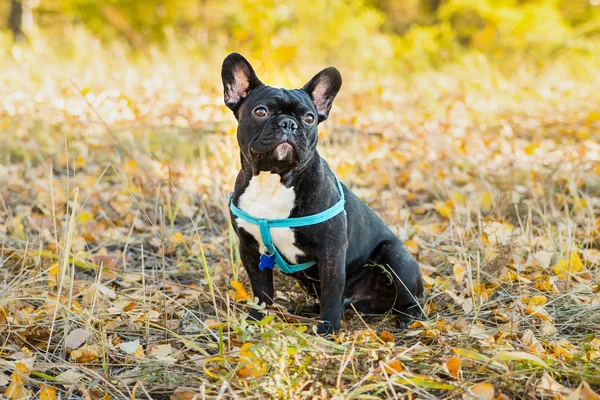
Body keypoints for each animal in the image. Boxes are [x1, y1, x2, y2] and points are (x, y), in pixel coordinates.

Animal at [223, 53, 424, 334]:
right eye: (260, 112)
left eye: (309, 118)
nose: (288, 123)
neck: (274, 180)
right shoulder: (250, 248)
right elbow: (261, 290)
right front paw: (257, 319)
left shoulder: (332, 250)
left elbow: (331, 291)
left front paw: (327, 328)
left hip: (397, 259)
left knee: (411, 298)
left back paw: (407, 318)